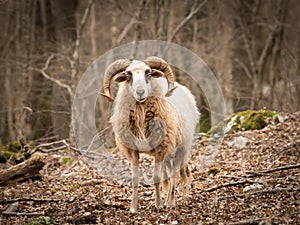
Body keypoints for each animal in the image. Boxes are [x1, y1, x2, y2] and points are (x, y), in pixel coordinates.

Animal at [99, 56, 200, 213]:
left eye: (148, 72)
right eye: (128, 74)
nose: (140, 92)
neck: (141, 114)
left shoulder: (160, 149)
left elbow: (156, 177)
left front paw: (158, 205)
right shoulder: (134, 150)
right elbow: (135, 178)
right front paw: (133, 208)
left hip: (181, 148)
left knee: (174, 175)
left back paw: (170, 203)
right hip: (168, 153)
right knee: (168, 175)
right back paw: (167, 199)